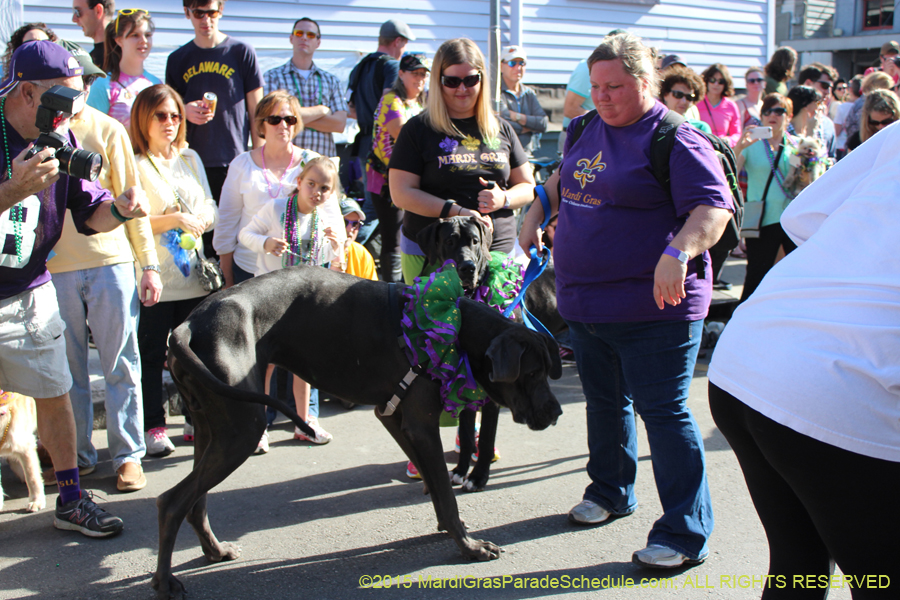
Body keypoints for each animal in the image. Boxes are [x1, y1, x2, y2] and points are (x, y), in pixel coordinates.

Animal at [155, 268, 564, 600]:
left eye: (546, 370)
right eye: (532, 373)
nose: (556, 413)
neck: (457, 324)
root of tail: (187, 325)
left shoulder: (394, 417)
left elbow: (432, 482)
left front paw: (450, 529)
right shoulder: (421, 424)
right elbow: (446, 494)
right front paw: (468, 546)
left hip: (213, 426)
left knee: (195, 501)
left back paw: (214, 551)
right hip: (242, 429)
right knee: (171, 501)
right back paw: (164, 582)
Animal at [418, 216, 568, 492]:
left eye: (475, 241)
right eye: (449, 241)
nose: (467, 267)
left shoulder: (494, 393)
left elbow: (486, 438)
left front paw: (478, 477)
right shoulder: (463, 378)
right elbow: (466, 434)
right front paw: (460, 470)